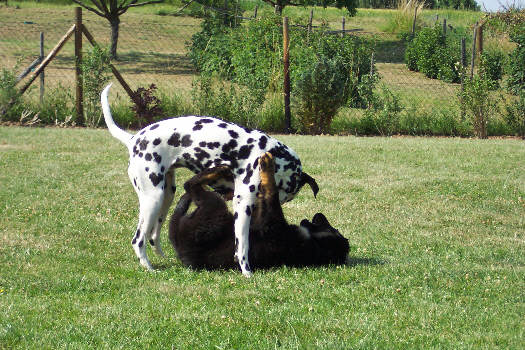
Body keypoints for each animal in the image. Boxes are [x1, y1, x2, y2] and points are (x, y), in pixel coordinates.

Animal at [100, 84, 318, 276]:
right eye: (285, 194)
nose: (266, 206)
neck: (268, 151)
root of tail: (133, 139)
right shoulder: (243, 204)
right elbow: (242, 246)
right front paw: (247, 272)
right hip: (153, 199)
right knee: (138, 240)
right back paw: (149, 268)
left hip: (166, 196)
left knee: (153, 237)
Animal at [168, 152, 348, 270]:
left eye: (332, 228)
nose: (319, 214)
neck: (313, 243)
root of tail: (179, 246)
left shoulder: (273, 226)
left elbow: (272, 193)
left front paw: (267, 167)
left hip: (213, 210)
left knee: (191, 186)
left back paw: (218, 170)